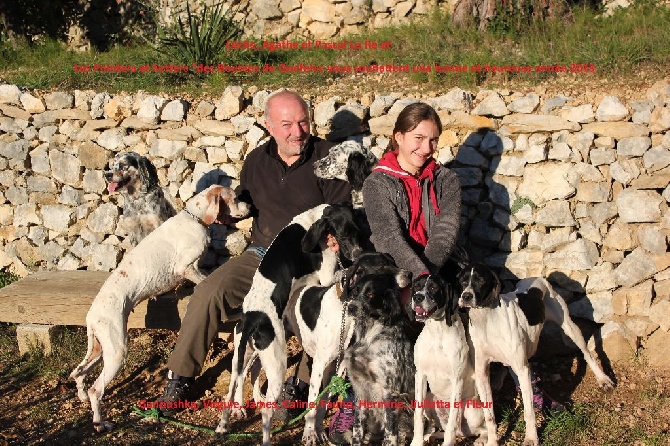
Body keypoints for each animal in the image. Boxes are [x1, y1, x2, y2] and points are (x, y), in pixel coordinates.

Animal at [70, 185, 249, 432]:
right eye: (235, 198)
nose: (250, 206)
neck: (193, 218)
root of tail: (91, 315)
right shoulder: (186, 267)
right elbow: (204, 280)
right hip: (117, 351)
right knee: (95, 389)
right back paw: (100, 422)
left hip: (99, 349)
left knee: (78, 373)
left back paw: (81, 398)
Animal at [217, 203, 364, 446]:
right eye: (343, 235)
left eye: (358, 232)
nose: (358, 255)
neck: (311, 220)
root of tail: (252, 317)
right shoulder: (326, 274)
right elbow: (339, 273)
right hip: (276, 363)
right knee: (264, 406)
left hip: (244, 354)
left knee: (234, 386)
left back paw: (224, 423)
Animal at [344, 264, 418, 446]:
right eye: (355, 291)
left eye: (370, 294)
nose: (351, 307)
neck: (368, 338)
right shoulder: (360, 389)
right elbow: (357, 430)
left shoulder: (389, 392)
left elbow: (390, 434)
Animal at [406, 276, 486, 446]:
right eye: (416, 286)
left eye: (434, 288)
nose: (417, 297)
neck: (437, 333)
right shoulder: (420, 375)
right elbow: (418, 415)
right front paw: (417, 441)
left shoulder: (457, 379)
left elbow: (451, 424)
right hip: (430, 398)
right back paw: (429, 436)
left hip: (472, 410)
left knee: (480, 429)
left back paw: (481, 439)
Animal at [460, 264, 616, 446]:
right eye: (462, 281)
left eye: (481, 280)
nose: (466, 296)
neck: (486, 320)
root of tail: (536, 278)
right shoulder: (481, 374)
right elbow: (489, 416)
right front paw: (492, 441)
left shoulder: (523, 370)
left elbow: (528, 411)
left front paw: (531, 438)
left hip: (570, 327)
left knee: (586, 353)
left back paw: (603, 379)